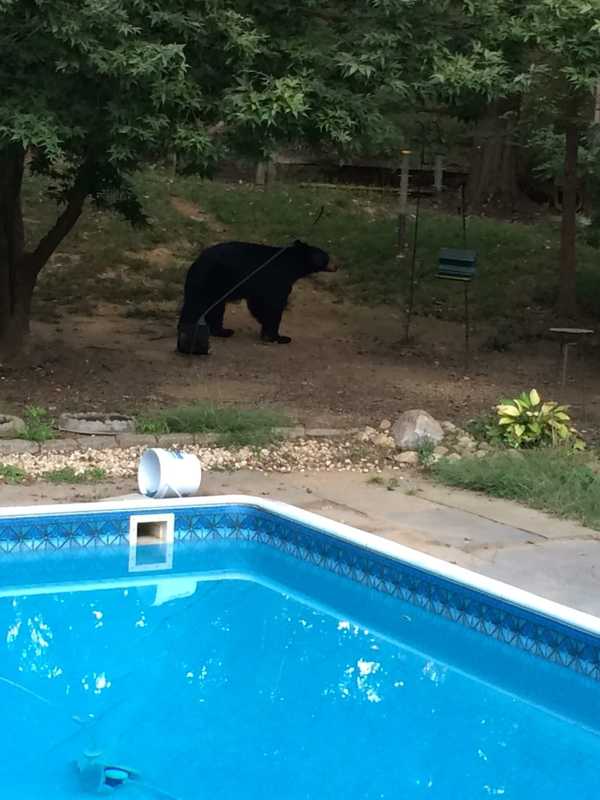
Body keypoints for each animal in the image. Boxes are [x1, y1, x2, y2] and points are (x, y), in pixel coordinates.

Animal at [176, 238, 336, 350]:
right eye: (327, 257)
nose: (336, 265)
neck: (292, 265)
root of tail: (196, 262)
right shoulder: (277, 280)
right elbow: (273, 306)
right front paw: (279, 337)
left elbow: (258, 305)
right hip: (211, 282)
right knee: (197, 306)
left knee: (215, 310)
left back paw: (222, 331)